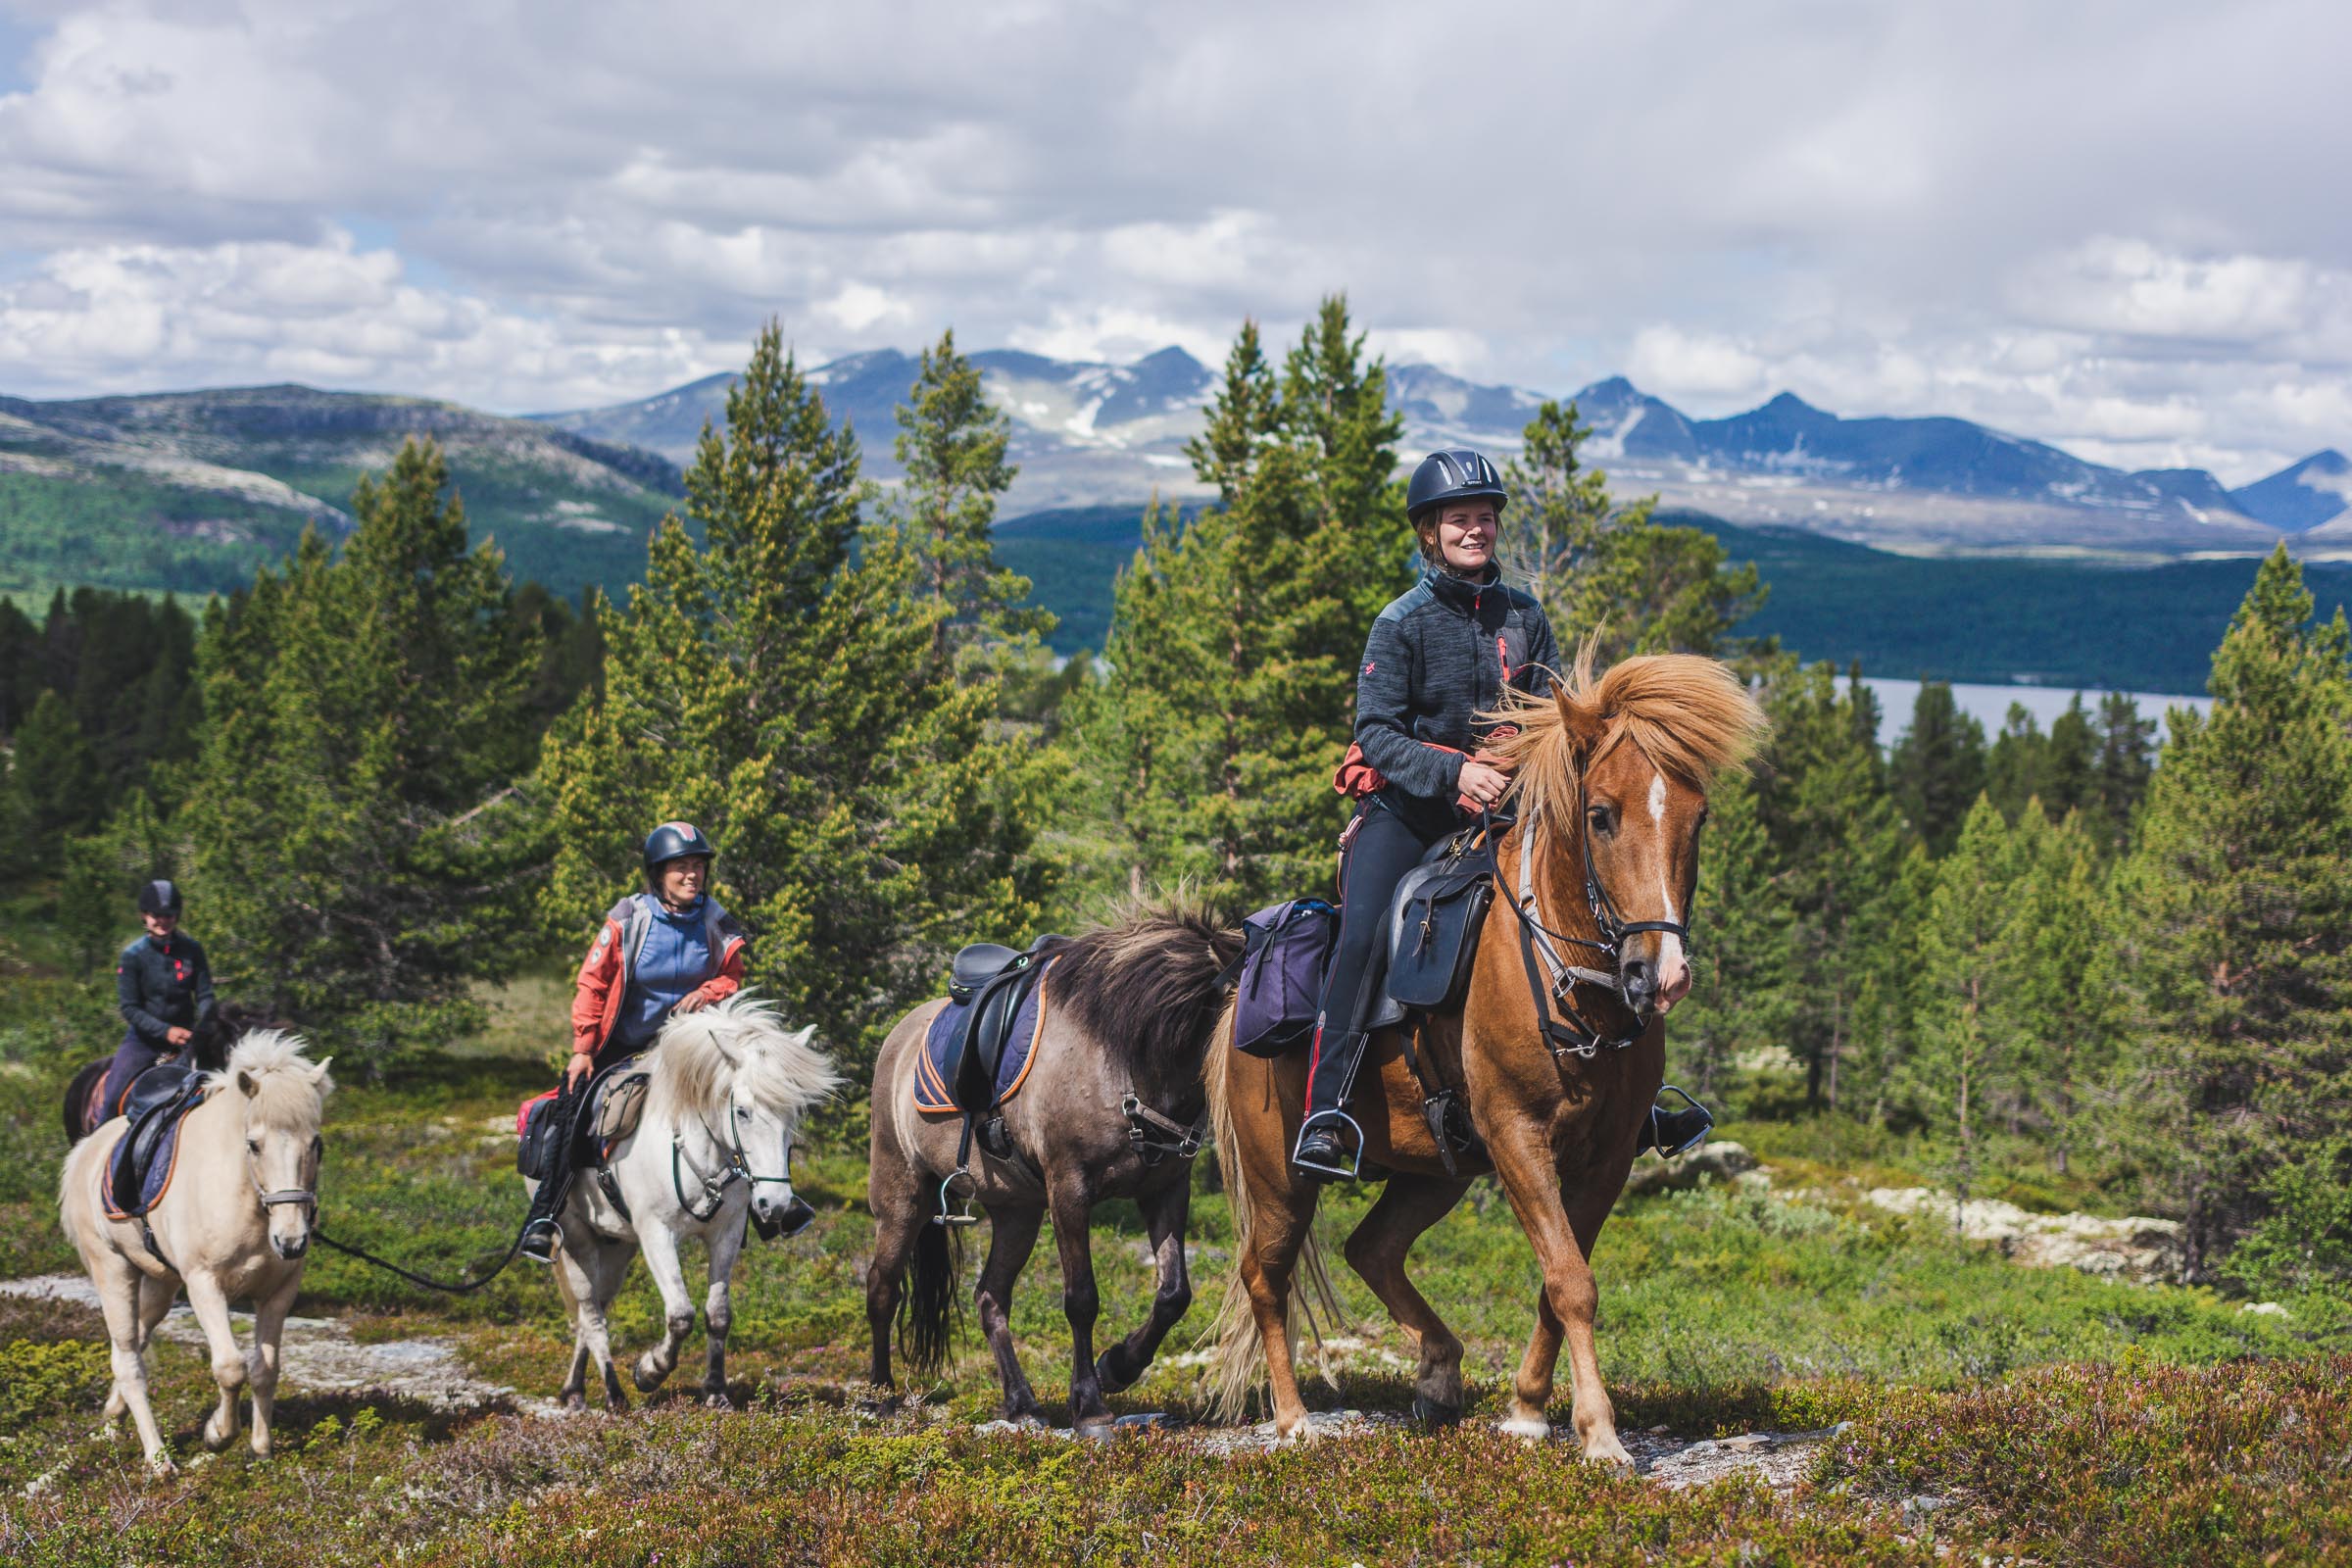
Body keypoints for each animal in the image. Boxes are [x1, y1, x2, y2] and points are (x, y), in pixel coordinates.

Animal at [58, 1029, 331, 1476]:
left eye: (317, 1144)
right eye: (254, 1145)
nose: (291, 1241)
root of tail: (87, 1150)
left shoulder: (278, 1293)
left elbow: (265, 1370)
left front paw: (261, 1449)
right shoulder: (205, 1285)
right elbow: (231, 1368)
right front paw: (218, 1434)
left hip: (160, 1284)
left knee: (136, 1342)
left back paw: (112, 1421)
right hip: (113, 1270)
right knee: (128, 1360)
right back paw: (158, 1461)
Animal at [531, 992, 837, 1410]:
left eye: (793, 1112)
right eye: (741, 1110)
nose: (775, 1205)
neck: (702, 1156)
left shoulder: (726, 1234)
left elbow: (718, 1314)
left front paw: (717, 1391)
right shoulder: (656, 1234)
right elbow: (680, 1314)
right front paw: (649, 1370)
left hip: (616, 1246)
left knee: (596, 1307)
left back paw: (575, 1387)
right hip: (576, 1239)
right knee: (590, 1313)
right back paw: (610, 1392)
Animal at [870, 893, 1250, 1439]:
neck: (1121, 1058)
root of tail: (898, 1039)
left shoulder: (1165, 1190)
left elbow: (1174, 1293)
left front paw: (1119, 1366)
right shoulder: (1069, 1189)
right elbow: (1082, 1299)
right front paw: (1090, 1406)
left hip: (1017, 1213)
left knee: (989, 1299)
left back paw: (1022, 1404)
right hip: (901, 1195)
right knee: (882, 1289)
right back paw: (881, 1396)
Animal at [1213, 649, 1768, 1457]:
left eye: (1698, 817)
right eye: (1601, 815)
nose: (1659, 976)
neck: (1573, 987)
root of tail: (1234, 1001)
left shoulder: (1605, 1158)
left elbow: (1558, 1279)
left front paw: (1529, 1408)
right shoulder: (1516, 1136)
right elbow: (1571, 1282)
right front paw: (1599, 1433)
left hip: (1433, 1172)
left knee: (1371, 1248)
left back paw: (1439, 1374)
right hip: (1280, 1176)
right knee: (1266, 1274)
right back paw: (1294, 1420)